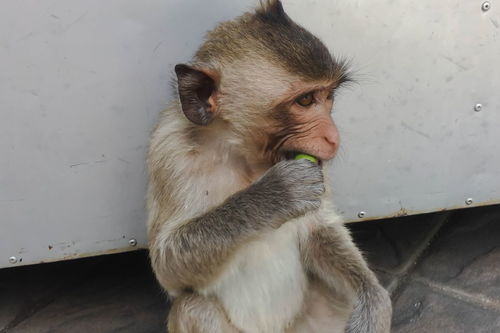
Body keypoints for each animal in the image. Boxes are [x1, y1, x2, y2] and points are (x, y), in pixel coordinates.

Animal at [146, 1, 392, 330]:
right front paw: (275, 194)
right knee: (194, 308)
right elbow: (167, 266)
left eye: (328, 96)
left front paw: (374, 300)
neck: (242, 155)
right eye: (306, 100)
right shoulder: (169, 152)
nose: (333, 136)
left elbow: (318, 227)